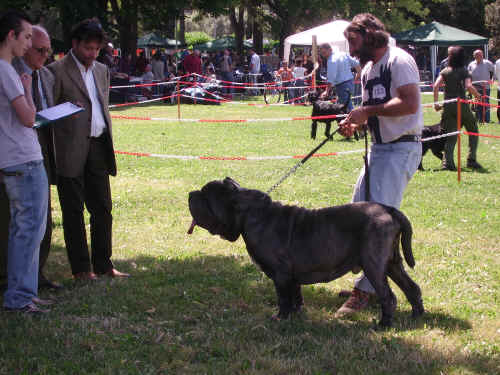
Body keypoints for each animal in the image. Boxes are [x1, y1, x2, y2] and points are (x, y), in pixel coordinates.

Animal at [189, 178, 424, 328]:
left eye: (205, 196)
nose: (191, 193)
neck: (250, 214)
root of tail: (388, 209)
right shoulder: (292, 276)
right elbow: (295, 296)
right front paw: (296, 315)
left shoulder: (281, 275)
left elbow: (283, 298)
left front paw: (279, 319)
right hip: (392, 264)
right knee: (412, 288)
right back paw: (417, 316)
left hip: (374, 265)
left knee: (388, 296)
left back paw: (383, 325)